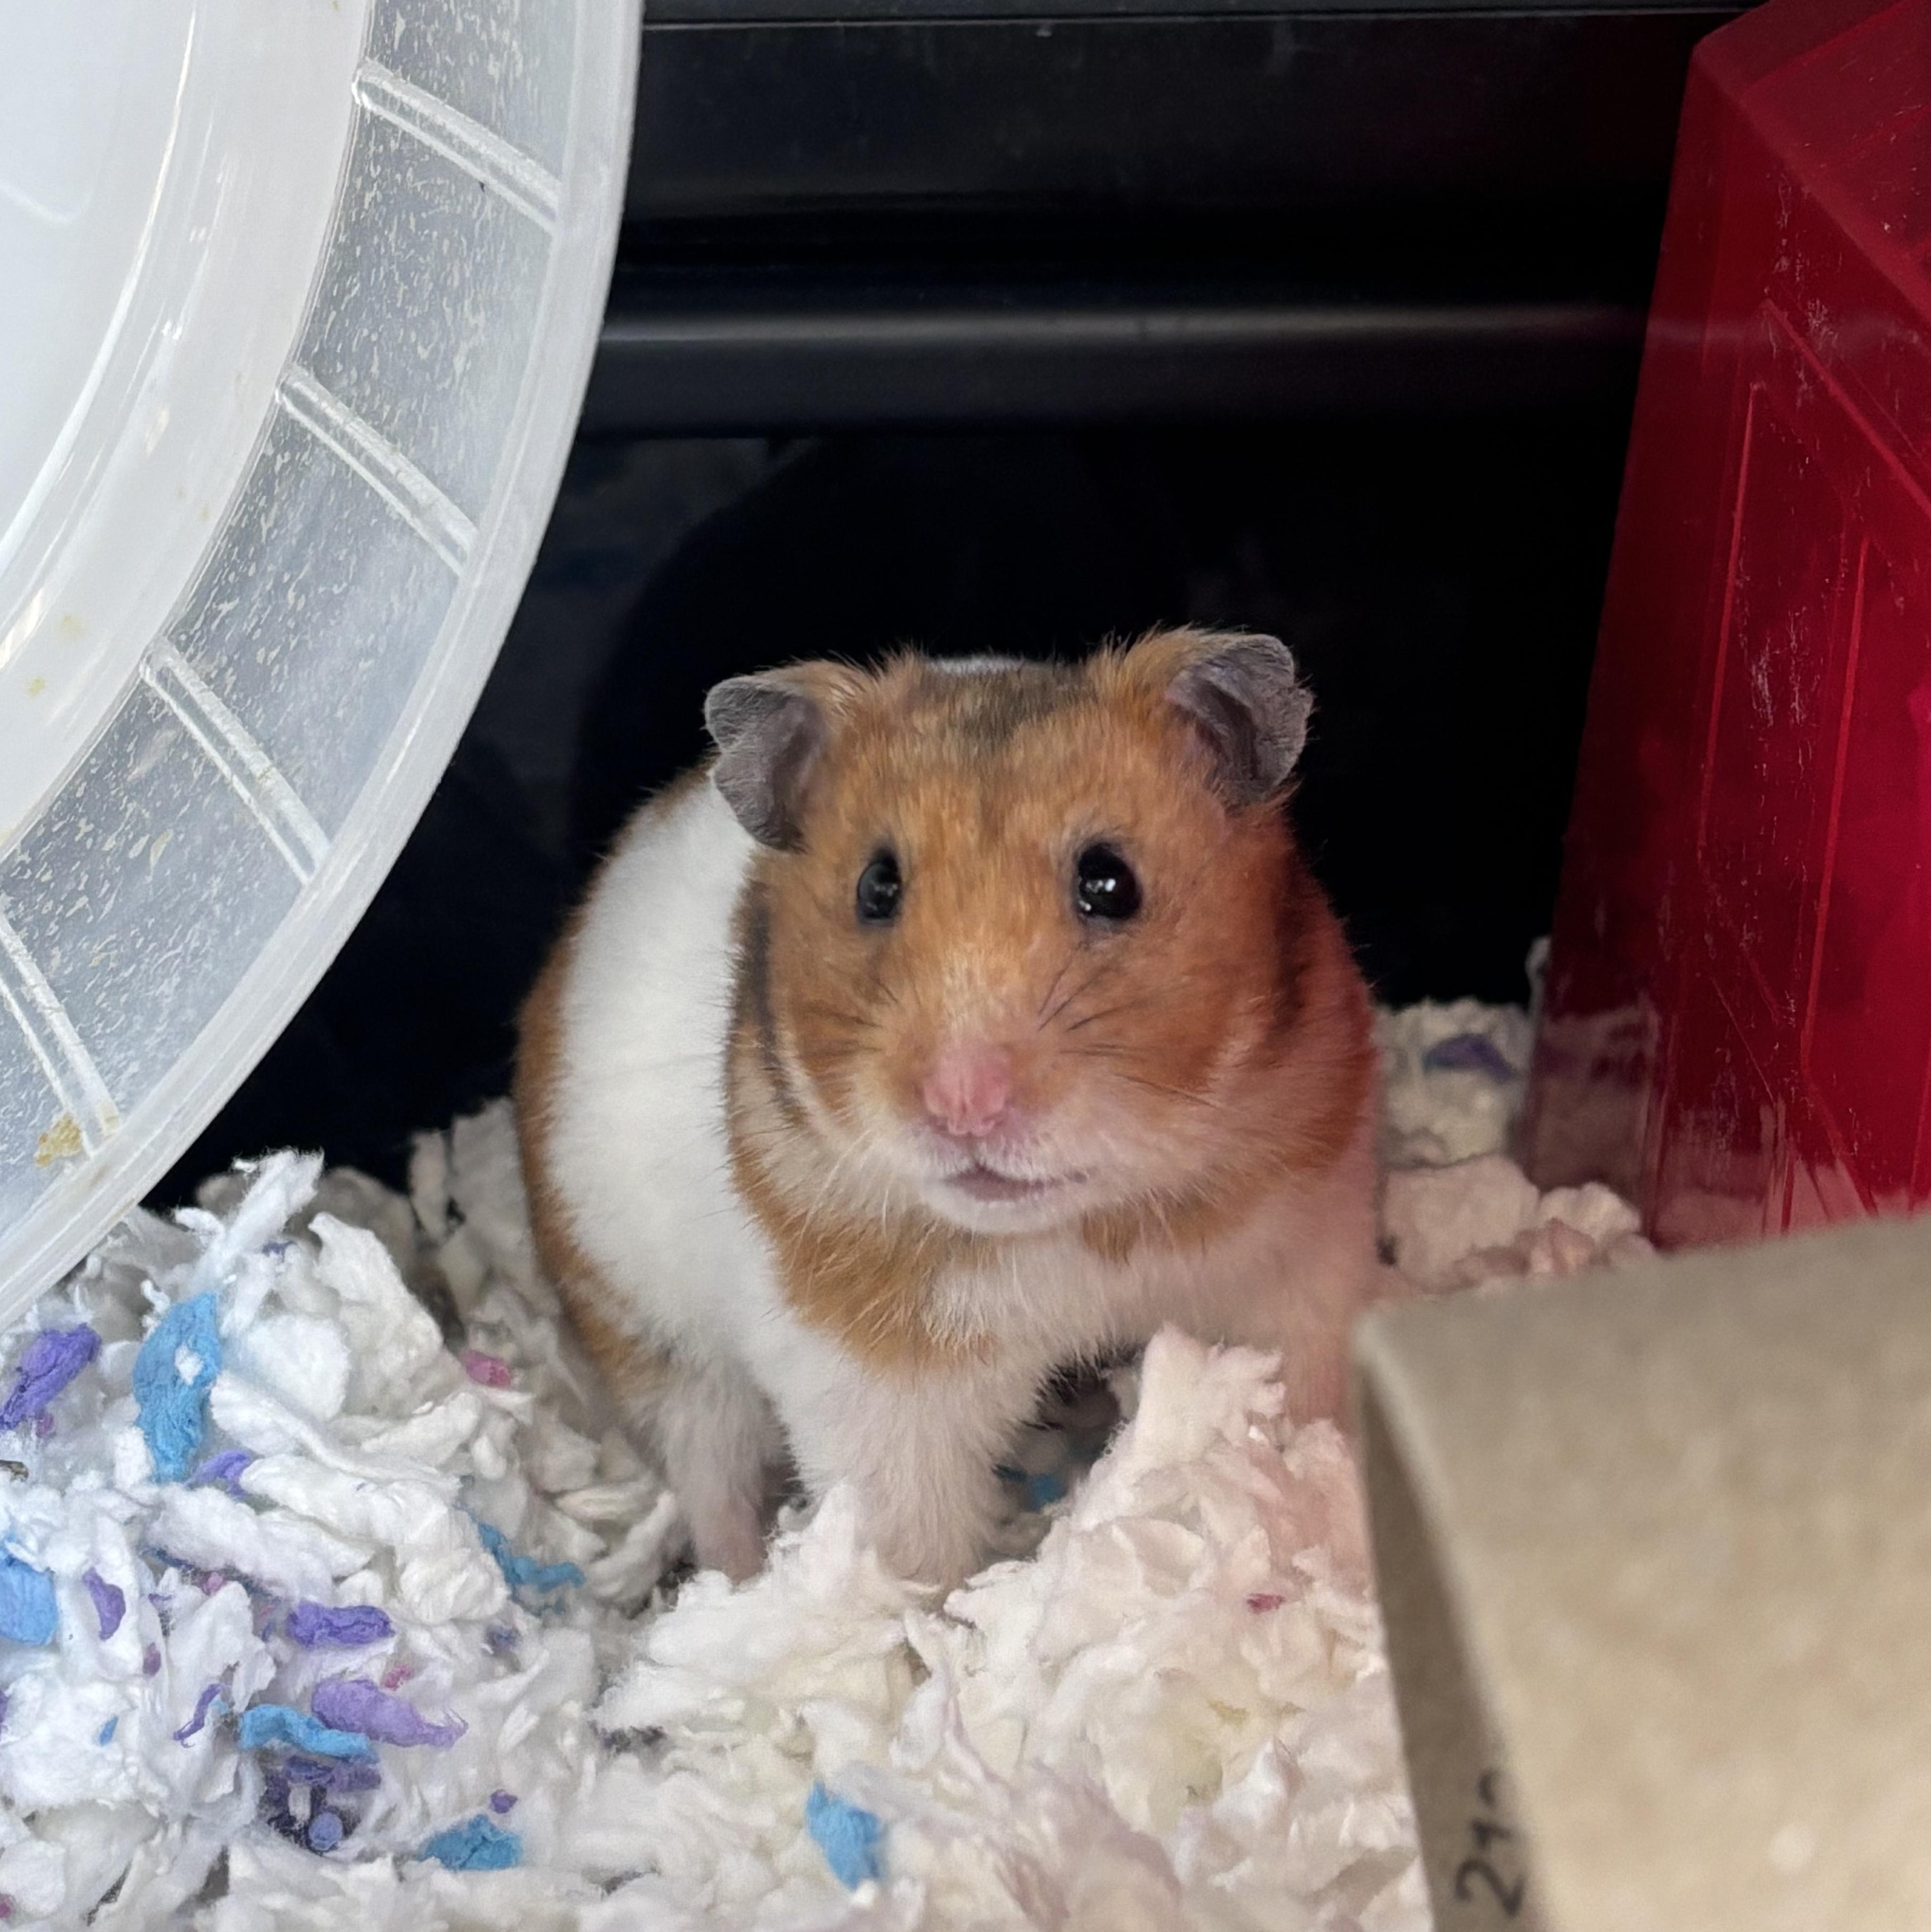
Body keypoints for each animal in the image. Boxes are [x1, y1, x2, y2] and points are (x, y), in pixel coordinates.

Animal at [515, 628, 1384, 1585]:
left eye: (1110, 883)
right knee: (711, 1479)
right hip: (651, 1340)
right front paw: (926, 1620)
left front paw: (1311, 1504)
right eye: (876, 887)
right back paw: (734, 1585)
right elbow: (910, 1542)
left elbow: (1299, 1404)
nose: (961, 1105)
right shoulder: (878, 1387)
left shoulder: (1301, 1265)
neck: (1084, 1223)